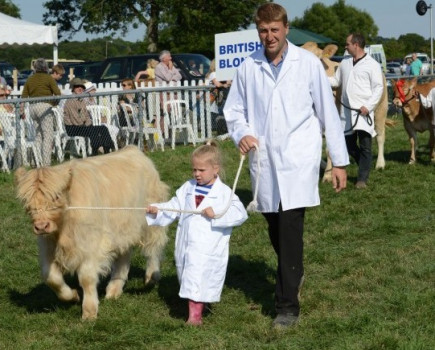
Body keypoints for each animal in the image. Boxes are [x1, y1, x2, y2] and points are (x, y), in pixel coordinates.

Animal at [15, 146, 169, 320]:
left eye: (56, 196)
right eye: (26, 200)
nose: (41, 226)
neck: (64, 229)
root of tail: (132, 149)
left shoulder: (92, 245)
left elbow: (86, 277)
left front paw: (89, 311)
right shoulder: (48, 247)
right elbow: (51, 278)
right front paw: (73, 296)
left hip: (151, 221)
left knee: (154, 248)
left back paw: (151, 277)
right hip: (122, 230)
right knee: (124, 256)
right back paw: (114, 288)